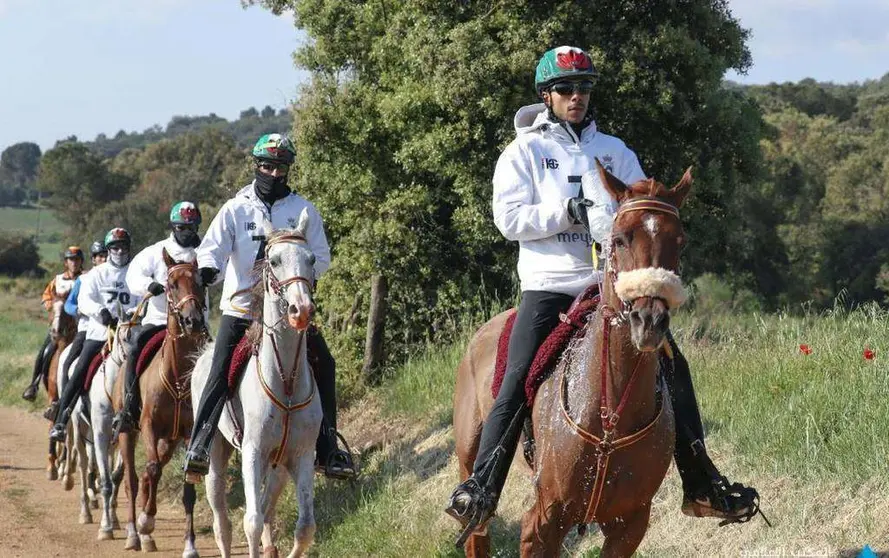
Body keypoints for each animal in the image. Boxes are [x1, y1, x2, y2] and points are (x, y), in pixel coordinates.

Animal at [112, 252, 205, 556]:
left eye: (201, 281)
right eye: (170, 284)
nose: (192, 321)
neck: (177, 377)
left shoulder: (187, 434)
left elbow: (188, 490)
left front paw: (190, 545)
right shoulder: (149, 427)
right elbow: (150, 469)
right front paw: (146, 520)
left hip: (169, 441)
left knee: (145, 476)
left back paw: (146, 537)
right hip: (129, 433)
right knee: (132, 479)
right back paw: (134, 532)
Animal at [191, 215, 322, 558]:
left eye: (311, 259)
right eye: (274, 261)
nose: (301, 310)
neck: (286, 381)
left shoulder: (301, 455)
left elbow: (305, 528)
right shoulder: (252, 451)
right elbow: (250, 521)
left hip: (277, 466)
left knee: (266, 506)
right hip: (217, 456)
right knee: (222, 522)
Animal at [450, 160, 692, 556]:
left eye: (679, 241)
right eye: (620, 238)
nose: (649, 321)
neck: (610, 418)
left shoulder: (630, 524)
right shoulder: (542, 523)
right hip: (469, 460)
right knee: (477, 531)